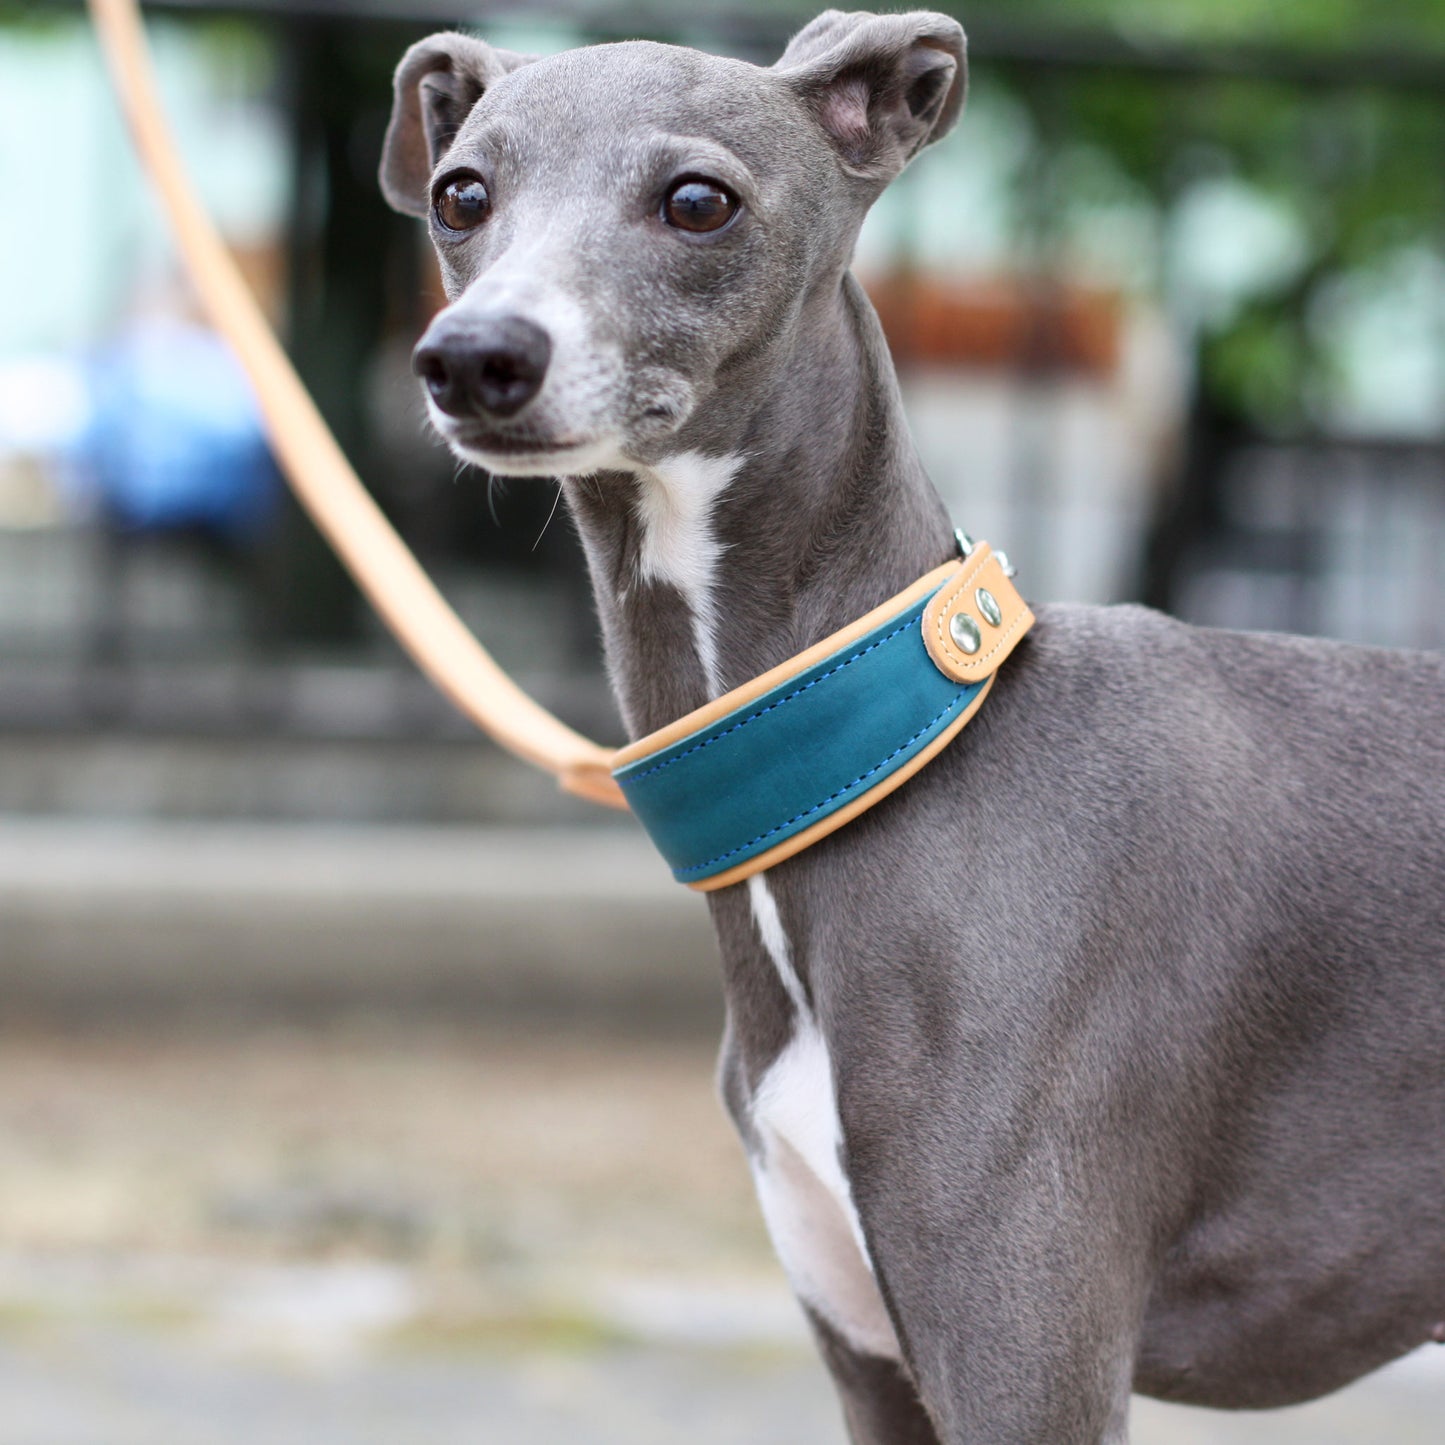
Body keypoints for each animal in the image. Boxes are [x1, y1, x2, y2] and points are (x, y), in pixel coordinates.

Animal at [375, 8, 1445, 1433]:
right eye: (460, 195)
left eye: (698, 200)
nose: (475, 359)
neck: (896, 760)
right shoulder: (871, 1356)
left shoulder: (1025, 1360)